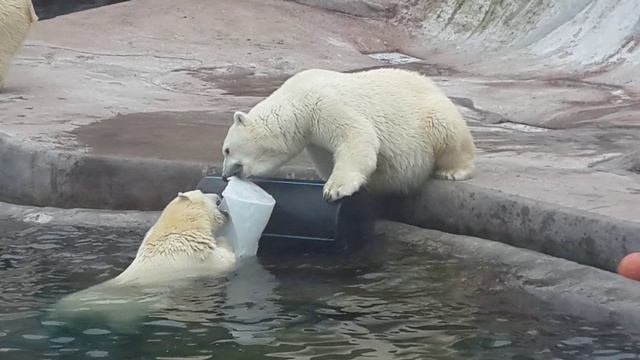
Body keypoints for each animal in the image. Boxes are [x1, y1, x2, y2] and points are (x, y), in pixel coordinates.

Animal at [221, 67, 476, 201]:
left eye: (226, 150)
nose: (224, 175)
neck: (297, 101)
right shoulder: (314, 139)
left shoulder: (323, 105)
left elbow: (357, 136)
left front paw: (334, 189)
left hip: (430, 116)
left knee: (447, 132)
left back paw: (453, 171)